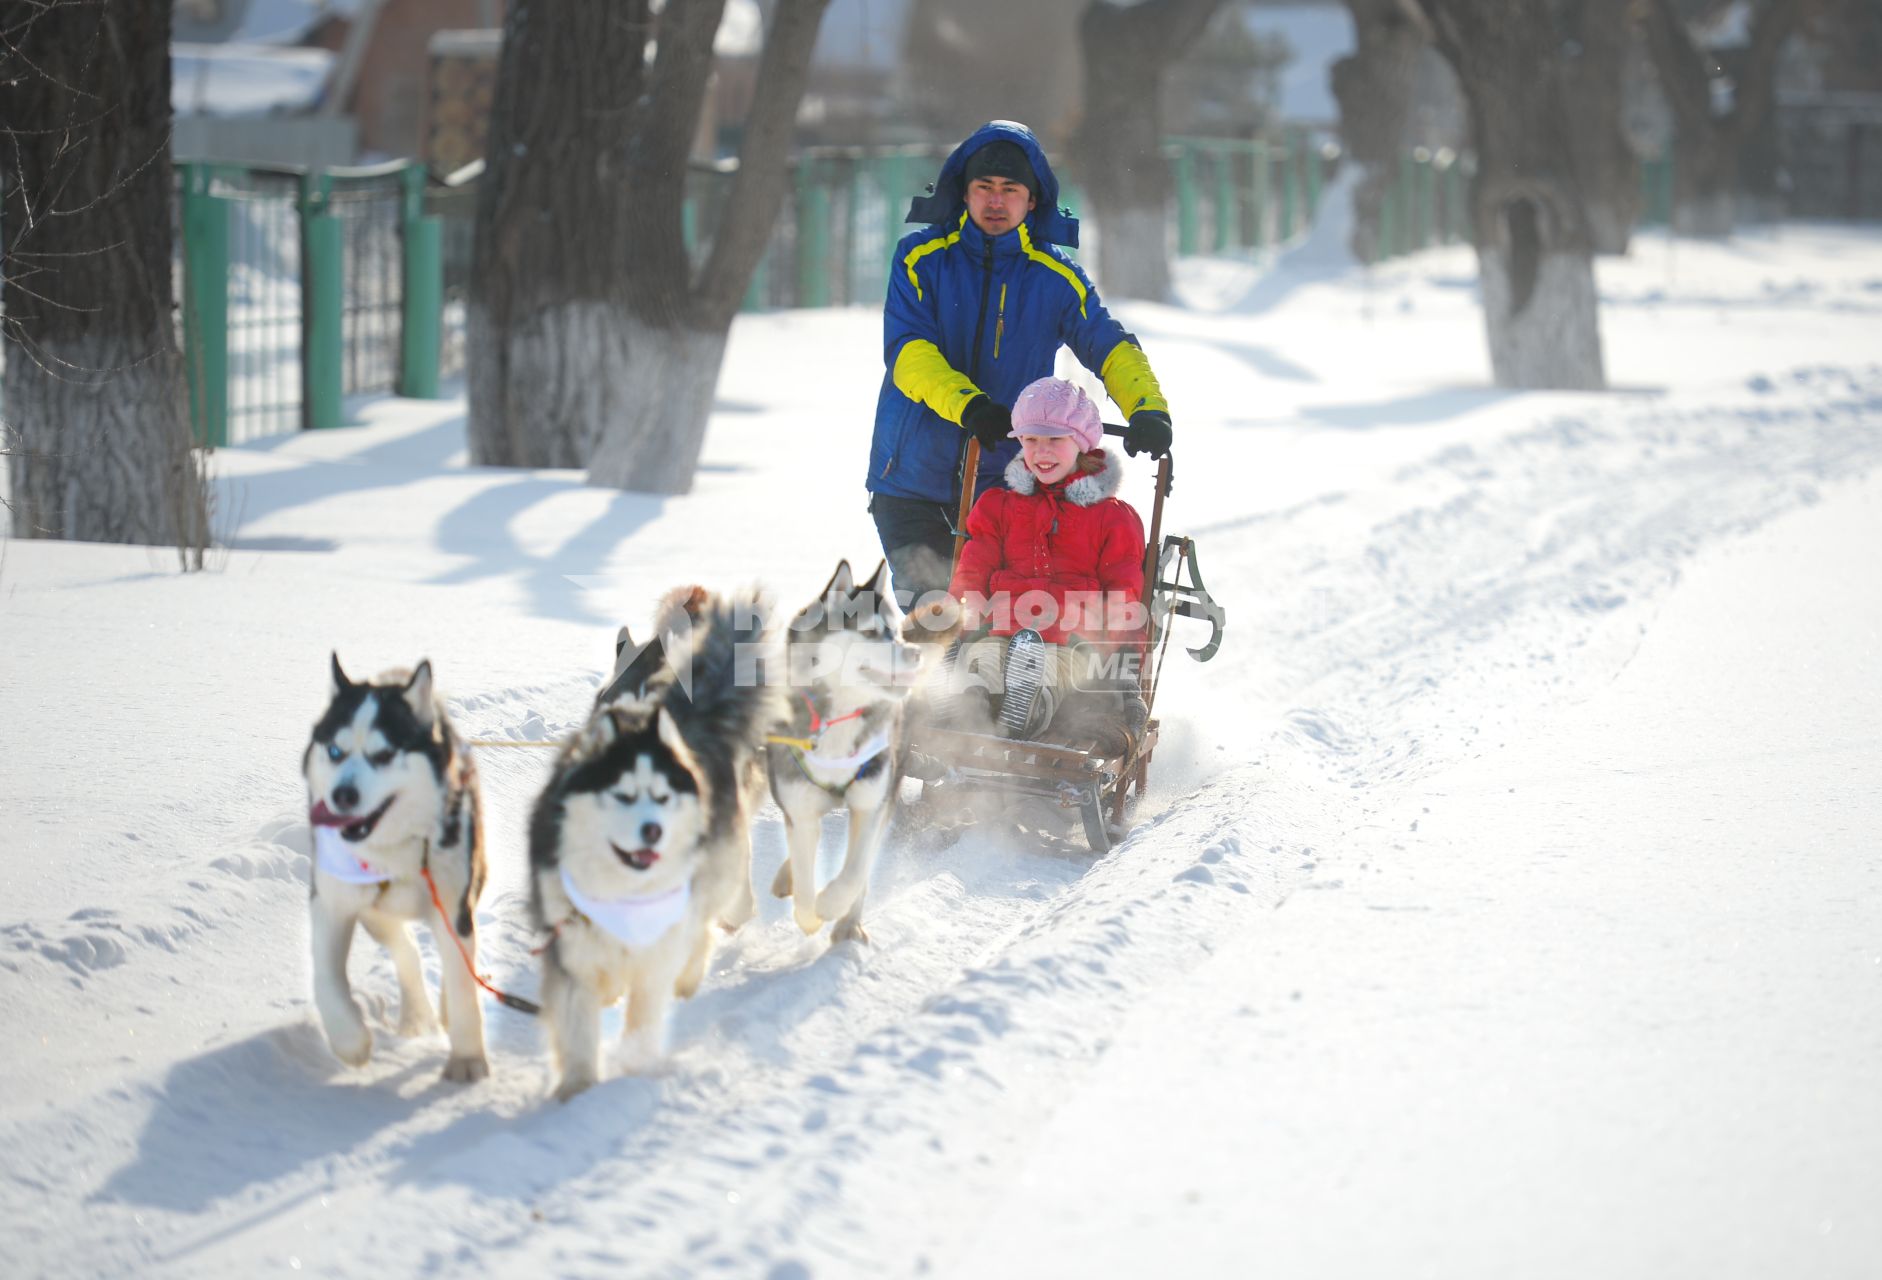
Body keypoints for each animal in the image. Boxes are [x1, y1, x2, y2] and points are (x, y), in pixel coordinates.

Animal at [303, 655, 493, 1084]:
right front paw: (350, 1040)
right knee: (406, 949)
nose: (343, 795)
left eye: (385, 755)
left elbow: (463, 985)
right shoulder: (332, 904)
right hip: (374, 911)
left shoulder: (453, 907)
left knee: (457, 960)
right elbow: (326, 978)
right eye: (336, 751)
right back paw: (415, 1014)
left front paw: (467, 1058)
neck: (392, 849)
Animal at [771, 564, 925, 944]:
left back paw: (848, 922)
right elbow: (803, 870)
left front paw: (831, 904)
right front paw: (809, 915)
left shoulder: (871, 804)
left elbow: (855, 871)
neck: (839, 716)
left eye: (896, 633)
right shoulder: (799, 808)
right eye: (870, 632)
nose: (915, 652)